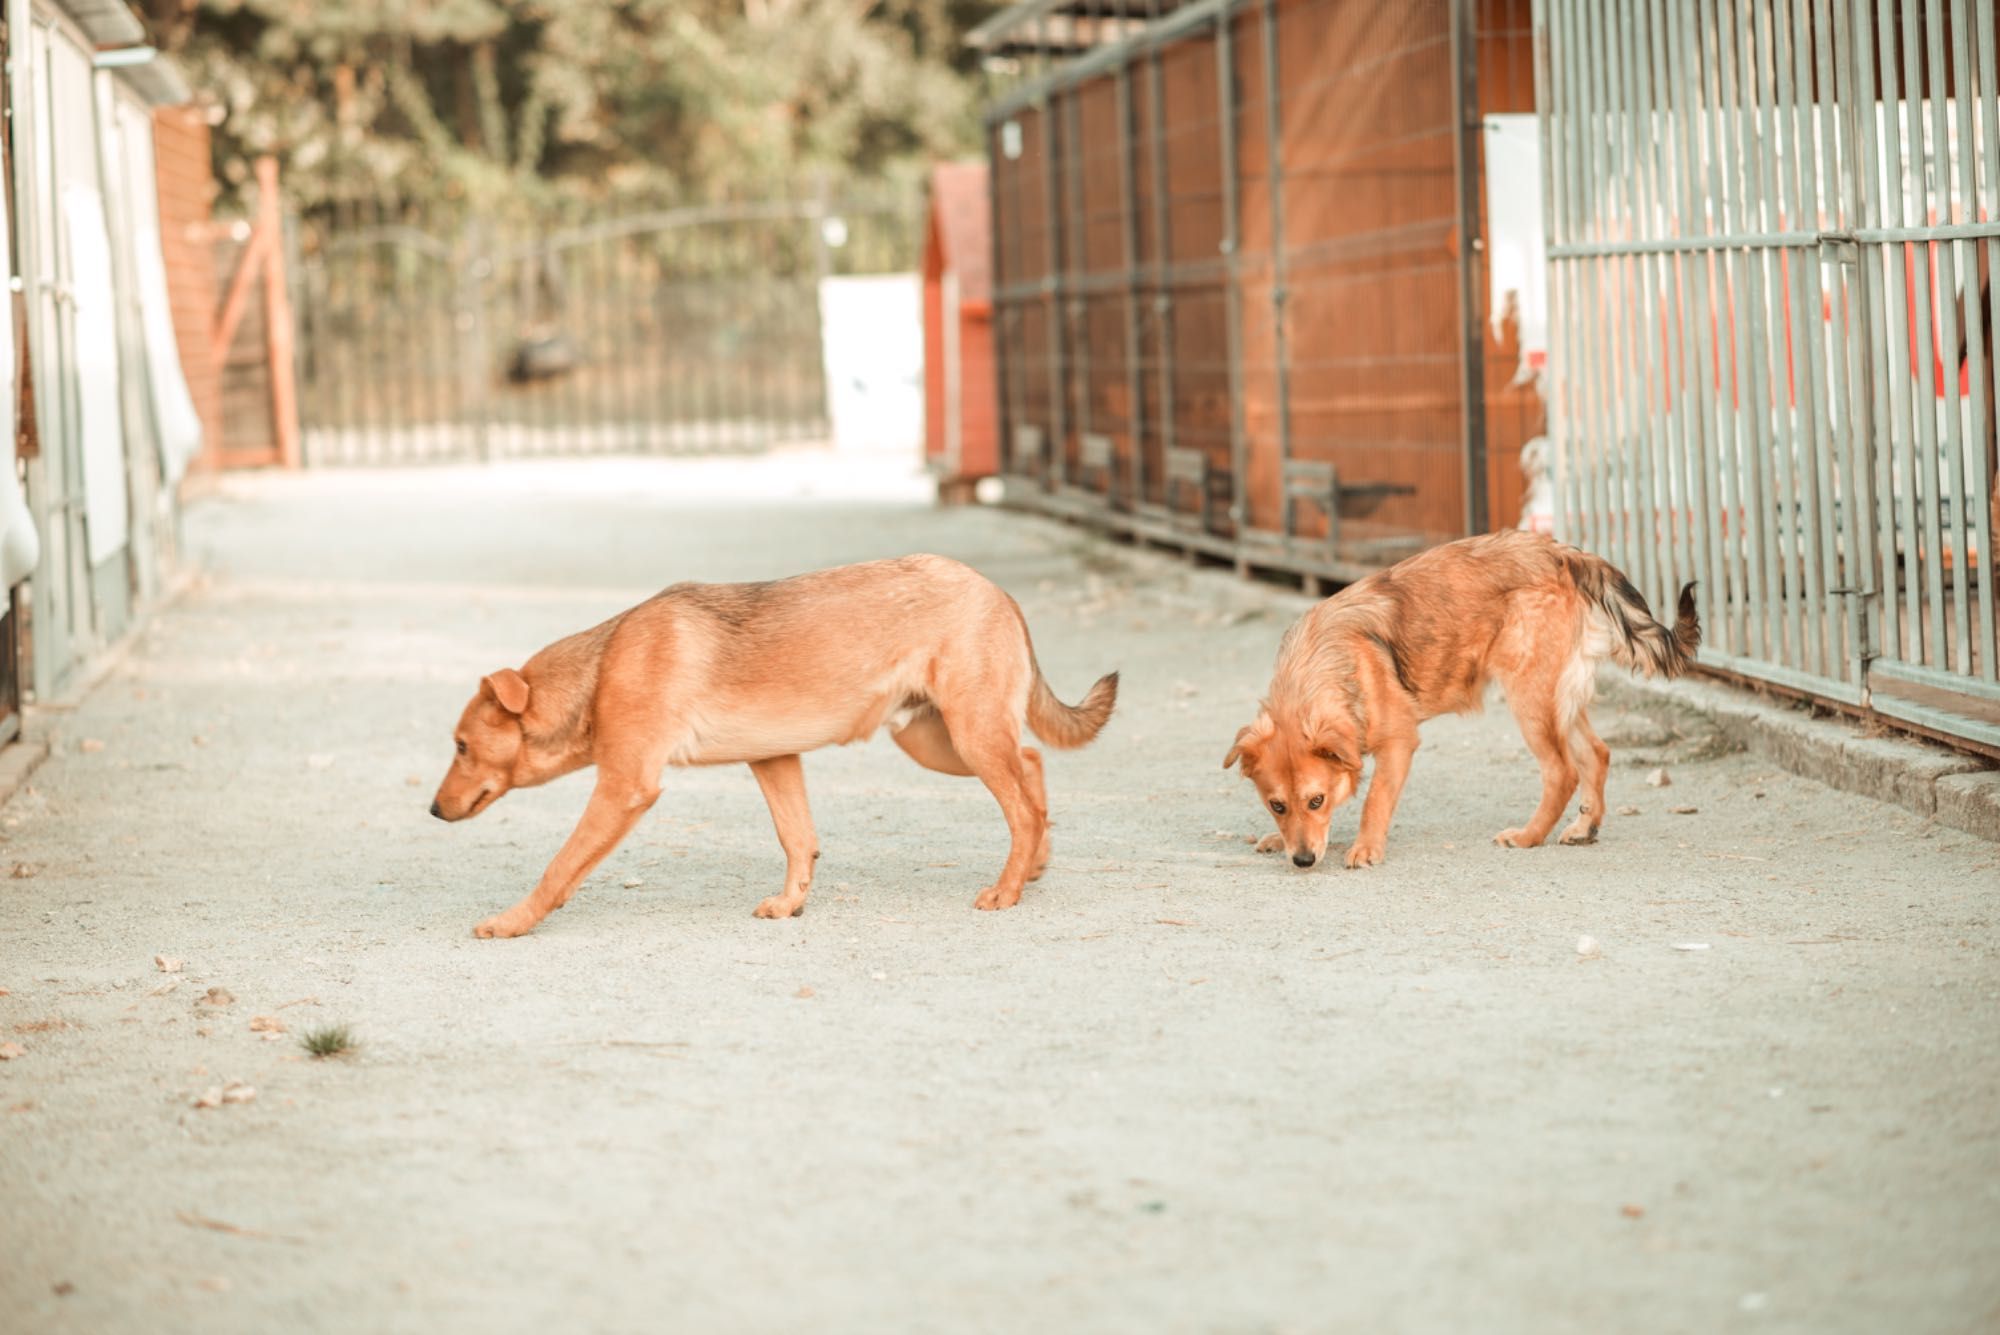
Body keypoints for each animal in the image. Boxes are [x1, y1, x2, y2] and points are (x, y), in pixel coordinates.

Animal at [432, 551, 1120, 939]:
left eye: (461, 746)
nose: (434, 811)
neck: (602, 667)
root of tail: (996, 591)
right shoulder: (773, 760)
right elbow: (798, 840)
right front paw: (792, 904)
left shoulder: (624, 787)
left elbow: (558, 868)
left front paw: (512, 922)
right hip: (935, 740)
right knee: (1031, 768)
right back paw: (1033, 865)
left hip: (969, 736)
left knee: (1022, 803)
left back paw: (1008, 888)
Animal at [1224, 527, 1696, 867]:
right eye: (1277, 805)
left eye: (1315, 800)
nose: (1303, 861)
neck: (1318, 669)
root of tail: (1562, 553)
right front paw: (1279, 837)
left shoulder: (1399, 743)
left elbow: (1374, 800)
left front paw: (1367, 847)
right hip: (1557, 697)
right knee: (1596, 754)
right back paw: (1583, 828)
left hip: (1529, 697)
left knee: (1563, 771)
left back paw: (1528, 836)